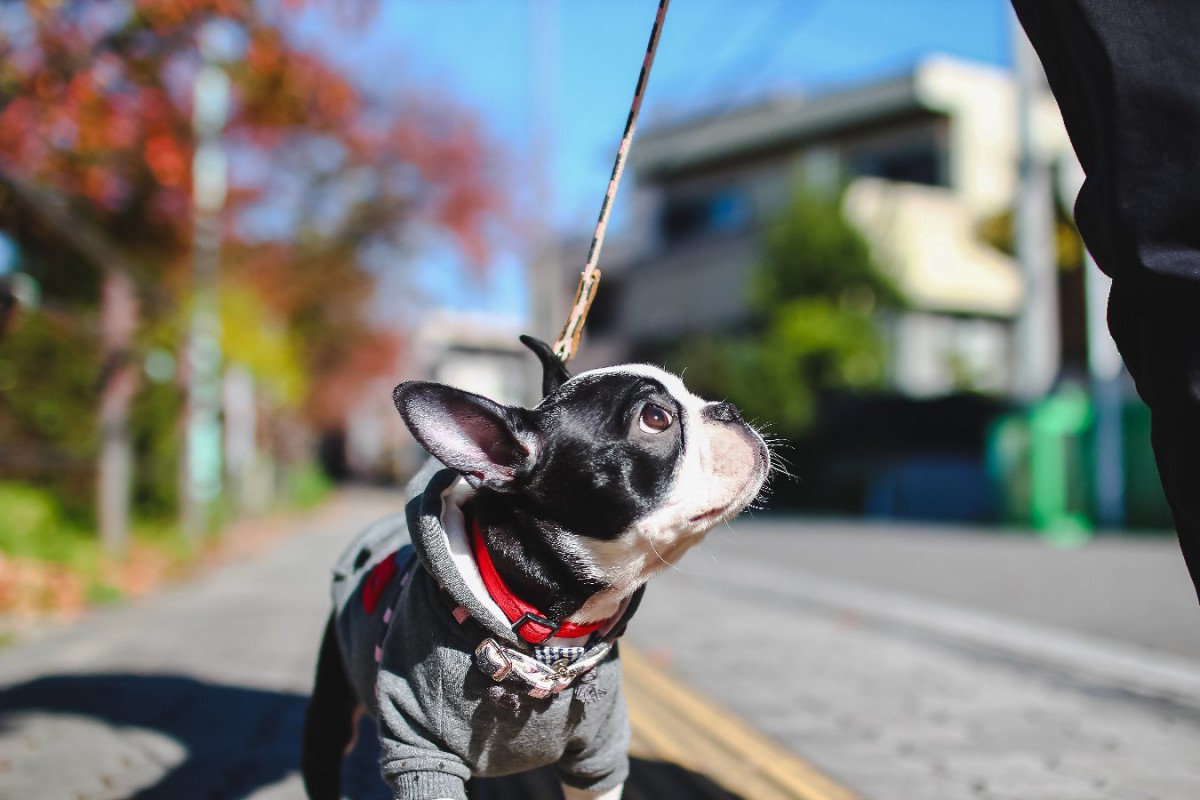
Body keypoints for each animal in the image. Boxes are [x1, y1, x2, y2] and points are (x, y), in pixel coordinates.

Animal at [300, 338, 768, 800]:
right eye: (656, 418)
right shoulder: (421, 753)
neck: (552, 631)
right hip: (329, 716)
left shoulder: (597, 757)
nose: (728, 408)